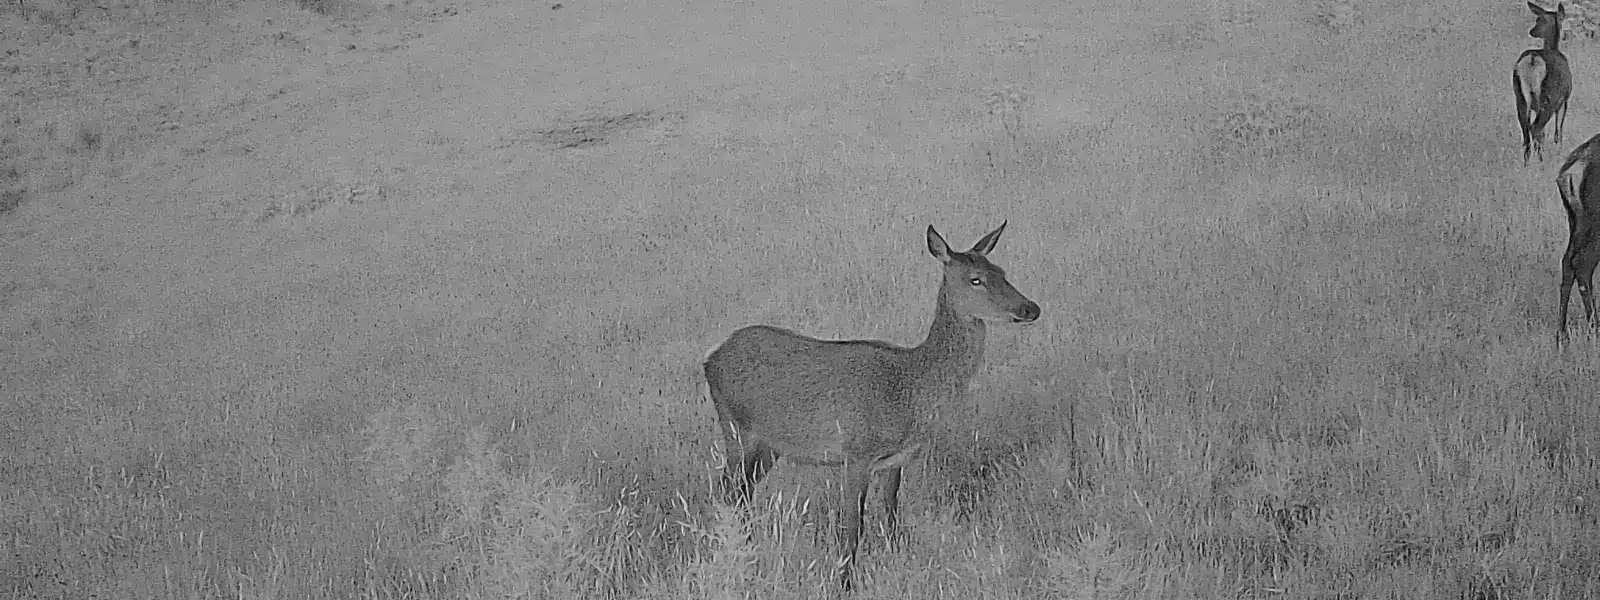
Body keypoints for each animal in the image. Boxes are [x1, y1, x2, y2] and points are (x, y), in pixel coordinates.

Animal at [700, 222, 1036, 592]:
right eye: (975, 279)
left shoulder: (896, 460)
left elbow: (891, 519)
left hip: (769, 446)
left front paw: (899, 565)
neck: (912, 389)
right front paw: (844, 583)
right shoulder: (856, 453)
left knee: (742, 495)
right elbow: (852, 528)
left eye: (1001, 272)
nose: (1030, 308)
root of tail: (711, 359)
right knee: (726, 493)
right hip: (734, 426)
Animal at [1510, 1, 1574, 167]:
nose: (1532, 31)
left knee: (1526, 130)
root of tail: (1533, 59)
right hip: (1549, 97)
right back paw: (1540, 162)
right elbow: (1559, 131)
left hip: (1520, 95)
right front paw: (1559, 152)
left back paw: (1527, 164)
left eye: (1539, 20)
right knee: (1536, 128)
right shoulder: (1564, 101)